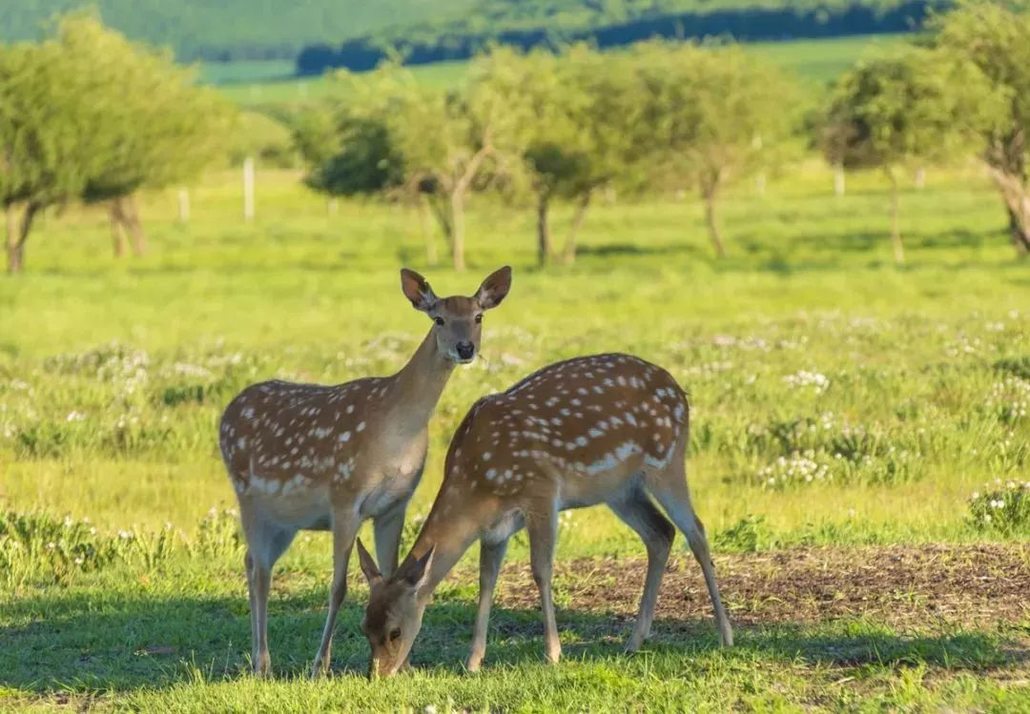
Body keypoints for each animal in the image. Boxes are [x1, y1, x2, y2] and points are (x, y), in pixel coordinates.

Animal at [216, 265, 510, 675]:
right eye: (438, 318)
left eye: (478, 316)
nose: (465, 348)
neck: (396, 429)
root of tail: (225, 413)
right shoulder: (345, 495)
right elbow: (338, 587)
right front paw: (319, 666)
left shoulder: (395, 504)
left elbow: (391, 572)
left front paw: (403, 665)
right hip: (246, 494)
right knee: (260, 571)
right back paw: (263, 664)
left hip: (283, 519)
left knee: (252, 562)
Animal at [354, 354, 733, 675]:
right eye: (365, 628)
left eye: (395, 631)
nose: (378, 675)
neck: (474, 485)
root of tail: (679, 391)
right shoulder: (495, 528)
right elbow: (486, 580)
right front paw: (474, 660)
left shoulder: (542, 491)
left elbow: (541, 569)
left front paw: (553, 653)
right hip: (621, 490)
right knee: (661, 533)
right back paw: (634, 641)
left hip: (666, 460)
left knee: (696, 531)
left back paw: (725, 634)